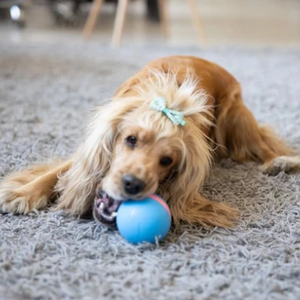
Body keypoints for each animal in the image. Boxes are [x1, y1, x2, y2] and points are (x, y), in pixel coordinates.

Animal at [0, 56, 300, 229]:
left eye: (167, 161)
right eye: (130, 140)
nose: (133, 184)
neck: (166, 98)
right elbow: (55, 174)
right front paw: (21, 193)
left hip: (235, 117)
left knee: (263, 147)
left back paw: (280, 162)